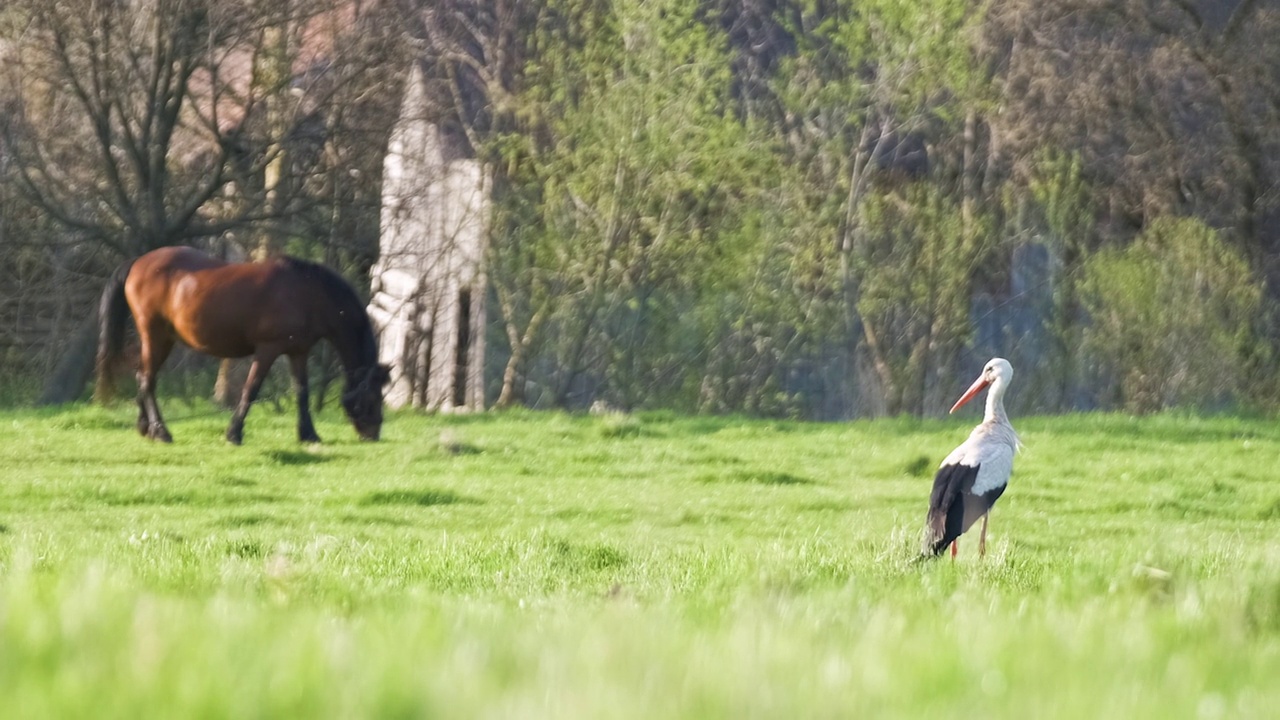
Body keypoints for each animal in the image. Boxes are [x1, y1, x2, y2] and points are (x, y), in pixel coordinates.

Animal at [94, 245, 386, 443]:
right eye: (373, 396)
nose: (373, 433)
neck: (307, 293)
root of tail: (138, 263)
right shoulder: (267, 350)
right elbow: (251, 389)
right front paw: (234, 433)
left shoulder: (298, 352)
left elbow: (301, 392)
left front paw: (309, 434)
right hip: (155, 337)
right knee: (147, 380)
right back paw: (161, 431)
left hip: (162, 340)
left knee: (143, 377)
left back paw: (145, 427)